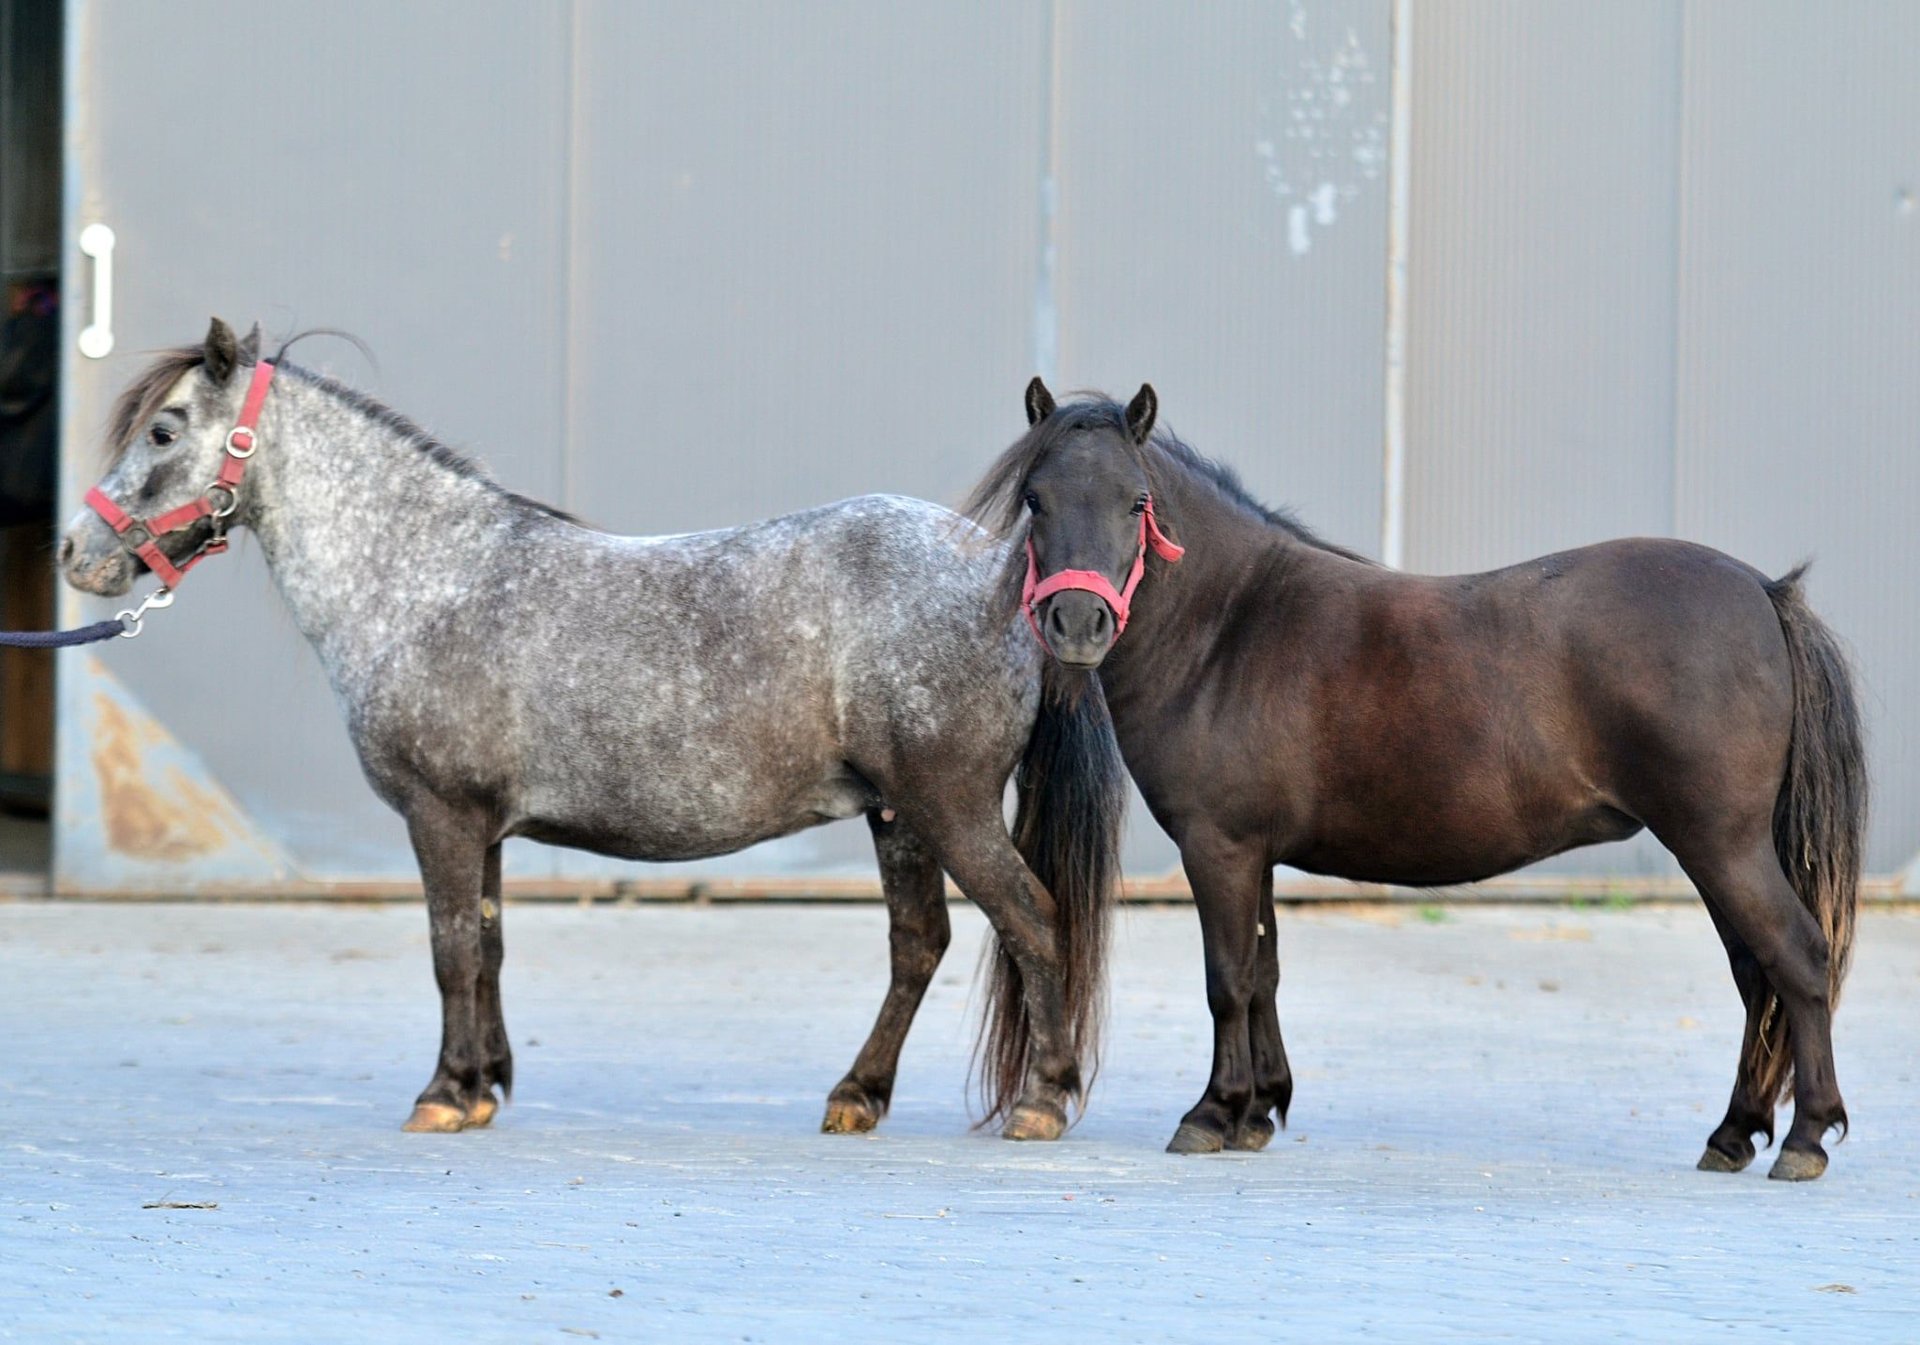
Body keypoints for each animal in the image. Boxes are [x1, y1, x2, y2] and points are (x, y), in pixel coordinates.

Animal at [59, 318, 1127, 1142]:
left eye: (164, 429)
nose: (77, 552)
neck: (426, 577)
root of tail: (1014, 579)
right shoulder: (482, 827)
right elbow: (487, 946)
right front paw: (483, 1085)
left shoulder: (441, 817)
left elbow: (449, 948)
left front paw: (442, 1094)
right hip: (898, 814)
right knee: (920, 944)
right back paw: (856, 1096)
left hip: (950, 809)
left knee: (1033, 921)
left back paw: (1041, 1101)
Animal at [966, 377, 1866, 1181]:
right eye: (1038, 500)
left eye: (1136, 503)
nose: (1077, 623)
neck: (1229, 628)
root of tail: (1762, 591)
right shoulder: (1254, 852)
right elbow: (1263, 972)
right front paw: (1258, 1109)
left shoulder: (1217, 847)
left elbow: (1228, 980)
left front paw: (1212, 1112)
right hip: (1717, 851)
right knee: (1755, 976)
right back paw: (1734, 1133)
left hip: (1722, 843)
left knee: (1795, 956)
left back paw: (1805, 1137)